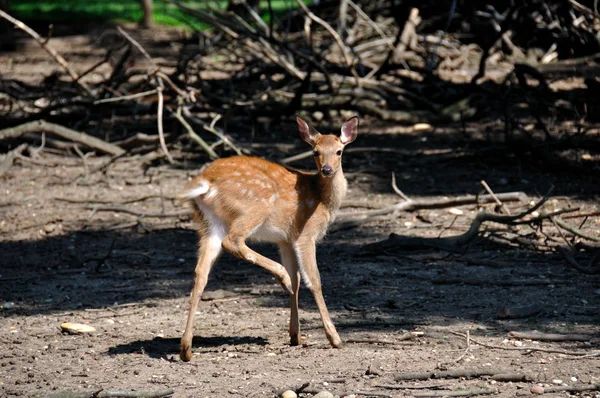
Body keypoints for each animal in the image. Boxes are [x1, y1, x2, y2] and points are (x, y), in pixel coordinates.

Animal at [177, 114, 356, 360]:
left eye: (339, 151)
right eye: (315, 151)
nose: (327, 170)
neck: (323, 199)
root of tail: (205, 183)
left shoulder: (286, 240)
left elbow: (298, 281)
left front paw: (296, 336)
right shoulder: (305, 234)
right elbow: (314, 280)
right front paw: (334, 338)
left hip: (209, 224)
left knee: (200, 274)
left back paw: (186, 349)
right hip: (255, 206)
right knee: (233, 241)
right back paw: (281, 277)